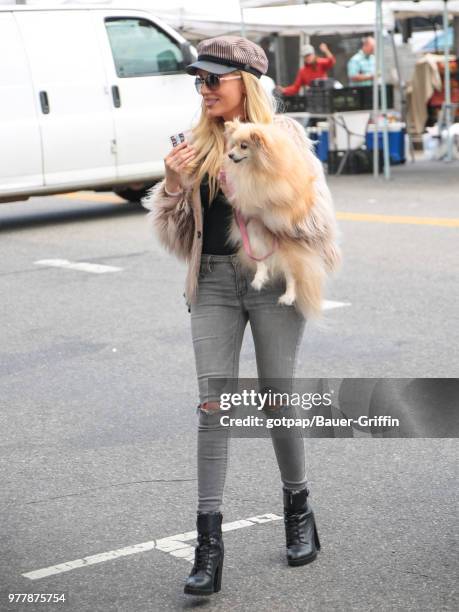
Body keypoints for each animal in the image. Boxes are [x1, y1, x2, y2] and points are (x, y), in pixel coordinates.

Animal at [223, 119, 342, 320]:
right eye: (232, 145)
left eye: (244, 146)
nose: (230, 155)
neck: (255, 170)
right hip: (255, 234)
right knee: (260, 260)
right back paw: (259, 278)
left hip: (290, 253)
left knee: (292, 277)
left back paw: (288, 297)